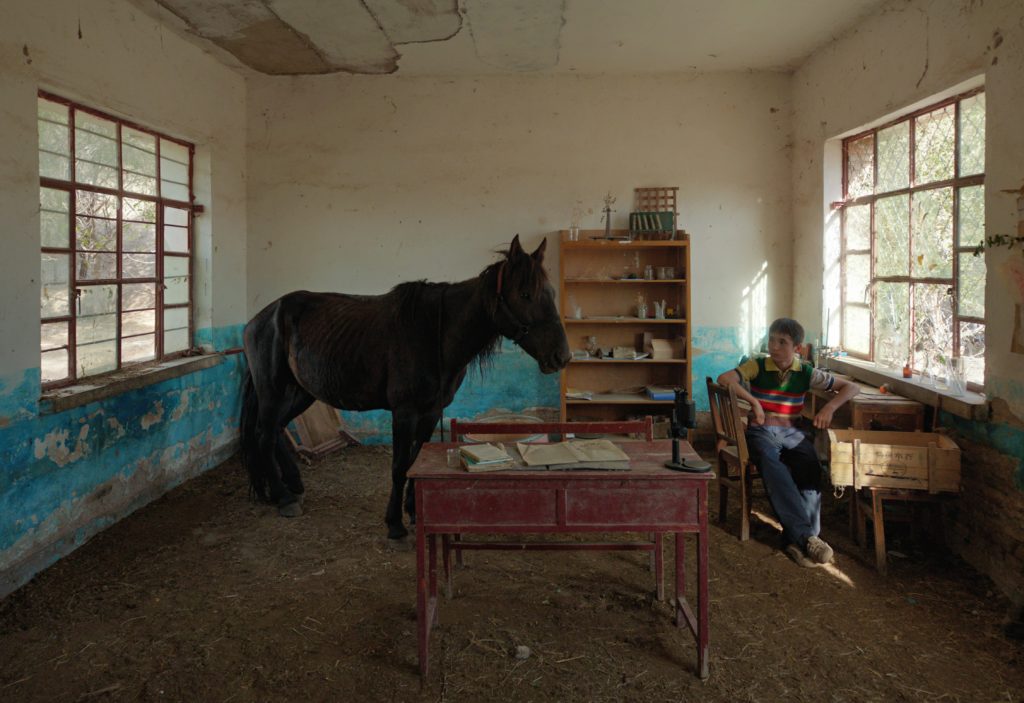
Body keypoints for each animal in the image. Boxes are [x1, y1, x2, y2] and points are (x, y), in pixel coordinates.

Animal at [239, 235, 570, 541]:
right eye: (525, 294)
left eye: (551, 293)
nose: (562, 356)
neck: (435, 334)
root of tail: (260, 318)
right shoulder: (404, 412)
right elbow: (399, 465)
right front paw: (395, 524)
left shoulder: (431, 411)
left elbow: (415, 459)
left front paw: (413, 510)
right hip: (273, 391)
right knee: (265, 434)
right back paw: (284, 497)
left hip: (301, 392)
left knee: (276, 430)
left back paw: (294, 486)